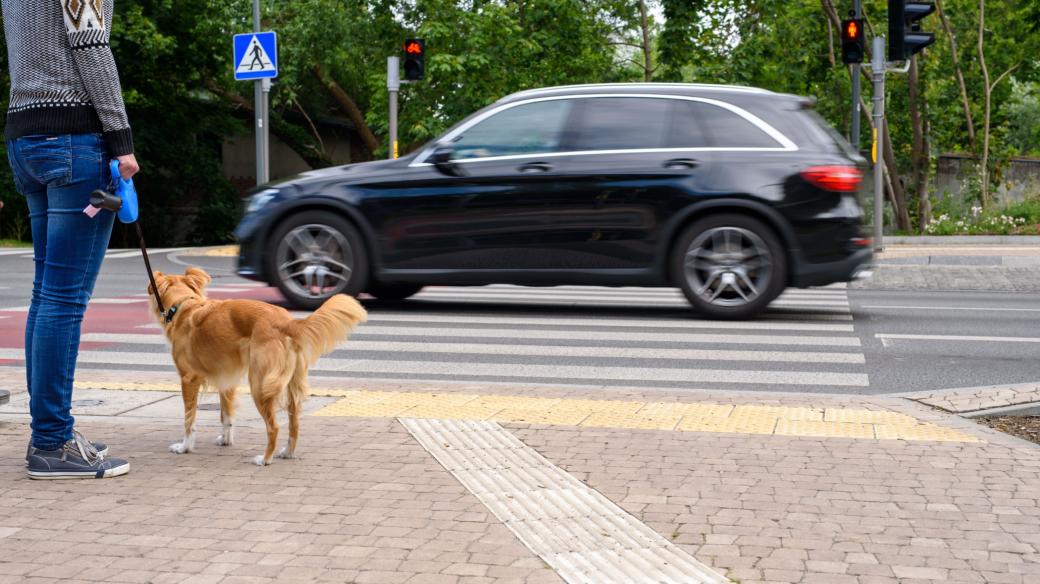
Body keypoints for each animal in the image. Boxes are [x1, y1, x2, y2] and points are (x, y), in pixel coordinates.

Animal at [148, 268, 368, 463]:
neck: (183, 305)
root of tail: (286, 323)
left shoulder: (188, 380)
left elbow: (189, 420)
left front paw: (185, 447)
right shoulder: (227, 380)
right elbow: (226, 415)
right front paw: (225, 440)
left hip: (259, 385)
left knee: (274, 427)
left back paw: (265, 459)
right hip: (292, 386)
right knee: (294, 424)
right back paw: (287, 453)